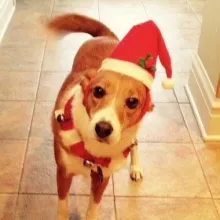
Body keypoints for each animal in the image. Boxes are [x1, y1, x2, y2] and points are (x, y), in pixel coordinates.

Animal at [48, 13, 155, 220]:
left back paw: (135, 168)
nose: (103, 129)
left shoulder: (102, 178)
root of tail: (107, 36)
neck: (91, 153)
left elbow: (93, 208)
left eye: (132, 102)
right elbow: (62, 207)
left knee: (134, 143)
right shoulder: (63, 173)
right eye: (98, 91)